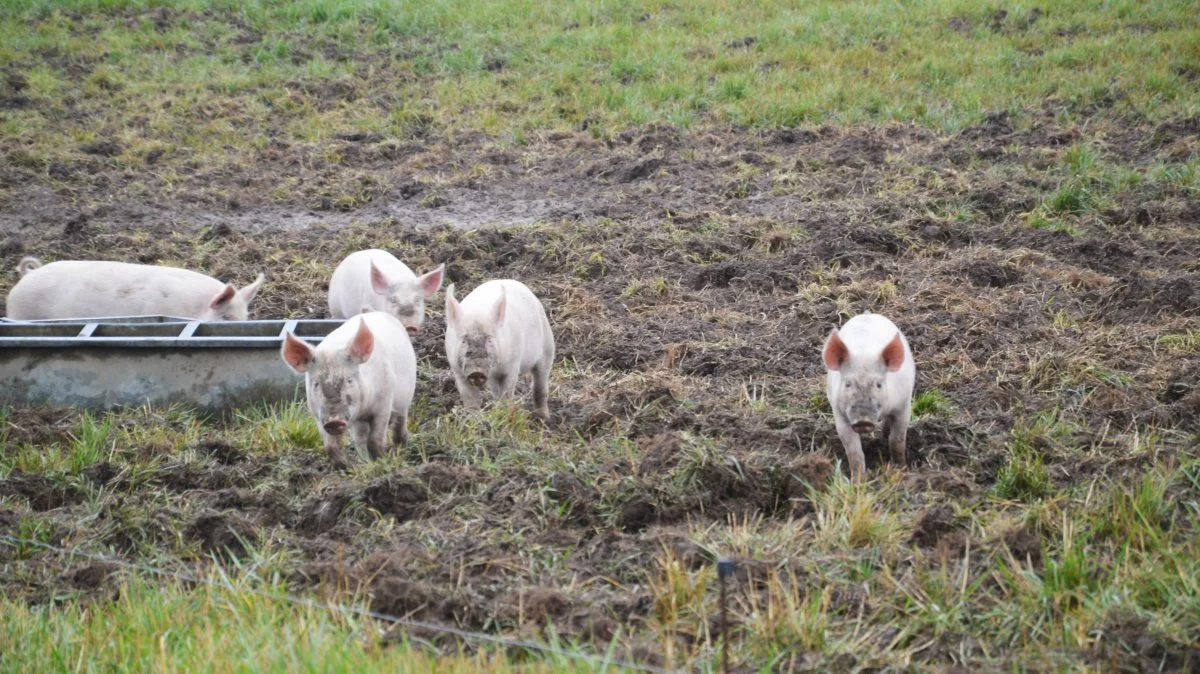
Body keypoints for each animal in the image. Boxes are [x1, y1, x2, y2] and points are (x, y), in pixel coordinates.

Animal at [280, 309, 417, 467]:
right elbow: (330, 446)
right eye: (316, 384)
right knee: (360, 439)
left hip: (405, 398)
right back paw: (365, 461)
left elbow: (375, 439)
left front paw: (382, 462)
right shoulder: (317, 415)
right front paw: (346, 467)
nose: (334, 420)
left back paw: (401, 449)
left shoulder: (384, 403)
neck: (363, 410)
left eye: (349, 380)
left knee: (400, 423)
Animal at [446, 278, 556, 419]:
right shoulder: (458, 370)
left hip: (548, 347)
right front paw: (474, 418)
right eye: (464, 340)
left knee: (540, 384)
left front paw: (507, 414)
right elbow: (470, 398)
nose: (476, 371)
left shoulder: (512, 365)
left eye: (489, 339)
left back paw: (544, 418)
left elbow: (507, 393)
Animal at [825, 311, 916, 479]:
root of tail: (867, 314)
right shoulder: (838, 413)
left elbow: (897, 439)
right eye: (848, 384)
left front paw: (901, 470)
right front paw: (857, 482)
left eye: (878, 384)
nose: (863, 420)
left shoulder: (904, 405)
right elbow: (854, 452)